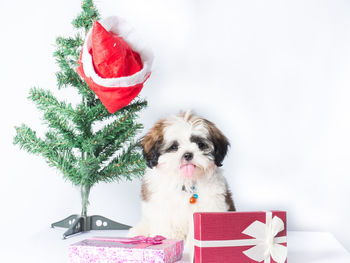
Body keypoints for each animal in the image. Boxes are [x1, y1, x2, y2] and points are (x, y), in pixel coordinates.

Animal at [129, 110, 235, 256]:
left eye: (200, 145)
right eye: (174, 147)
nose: (188, 154)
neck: (185, 181)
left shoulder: (210, 206)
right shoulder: (161, 208)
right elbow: (165, 227)